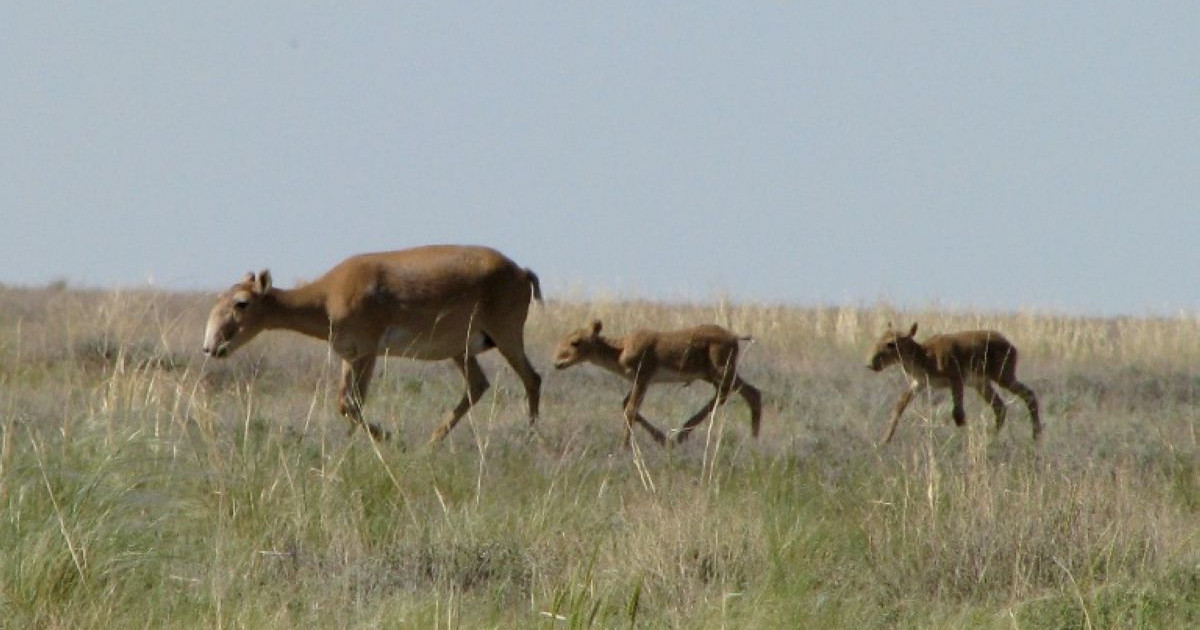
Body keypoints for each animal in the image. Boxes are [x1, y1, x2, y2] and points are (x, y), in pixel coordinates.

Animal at [202, 246, 544, 441]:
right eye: (219, 298)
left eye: (241, 302)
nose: (211, 346)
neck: (326, 297)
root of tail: (521, 271)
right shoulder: (349, 356)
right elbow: (349, 403)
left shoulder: (366, 353)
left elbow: (350, 403)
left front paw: (389, 437)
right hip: (460, 350)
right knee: (478, 385)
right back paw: (431, 444)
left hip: (506, 336)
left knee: (532, 378)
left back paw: (530, 438)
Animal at [549, 319, 758, 446]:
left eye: (576, 342)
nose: (557, 363)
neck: (620, 349)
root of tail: (734, 336)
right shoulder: (637, 382)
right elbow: (625, 404)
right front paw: (663, 439)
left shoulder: (643, 379)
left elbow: (630, 409)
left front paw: (624, 447)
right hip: (711, 375)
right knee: (733, 393)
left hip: (721, 371)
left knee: (749, 392)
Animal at [864, 324, 1041, 441]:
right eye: (879, 339)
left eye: (891, 343)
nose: (871, 364)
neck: (925, 356)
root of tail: (1012, 346)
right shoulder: (919, 383)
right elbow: (899, 406)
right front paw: (884, 440)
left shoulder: (956, 379)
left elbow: (958, 415)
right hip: (981, 384)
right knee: (1000, 406)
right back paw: (992, 436)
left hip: (1003, 377)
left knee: (1029, 395)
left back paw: (1036, 435)